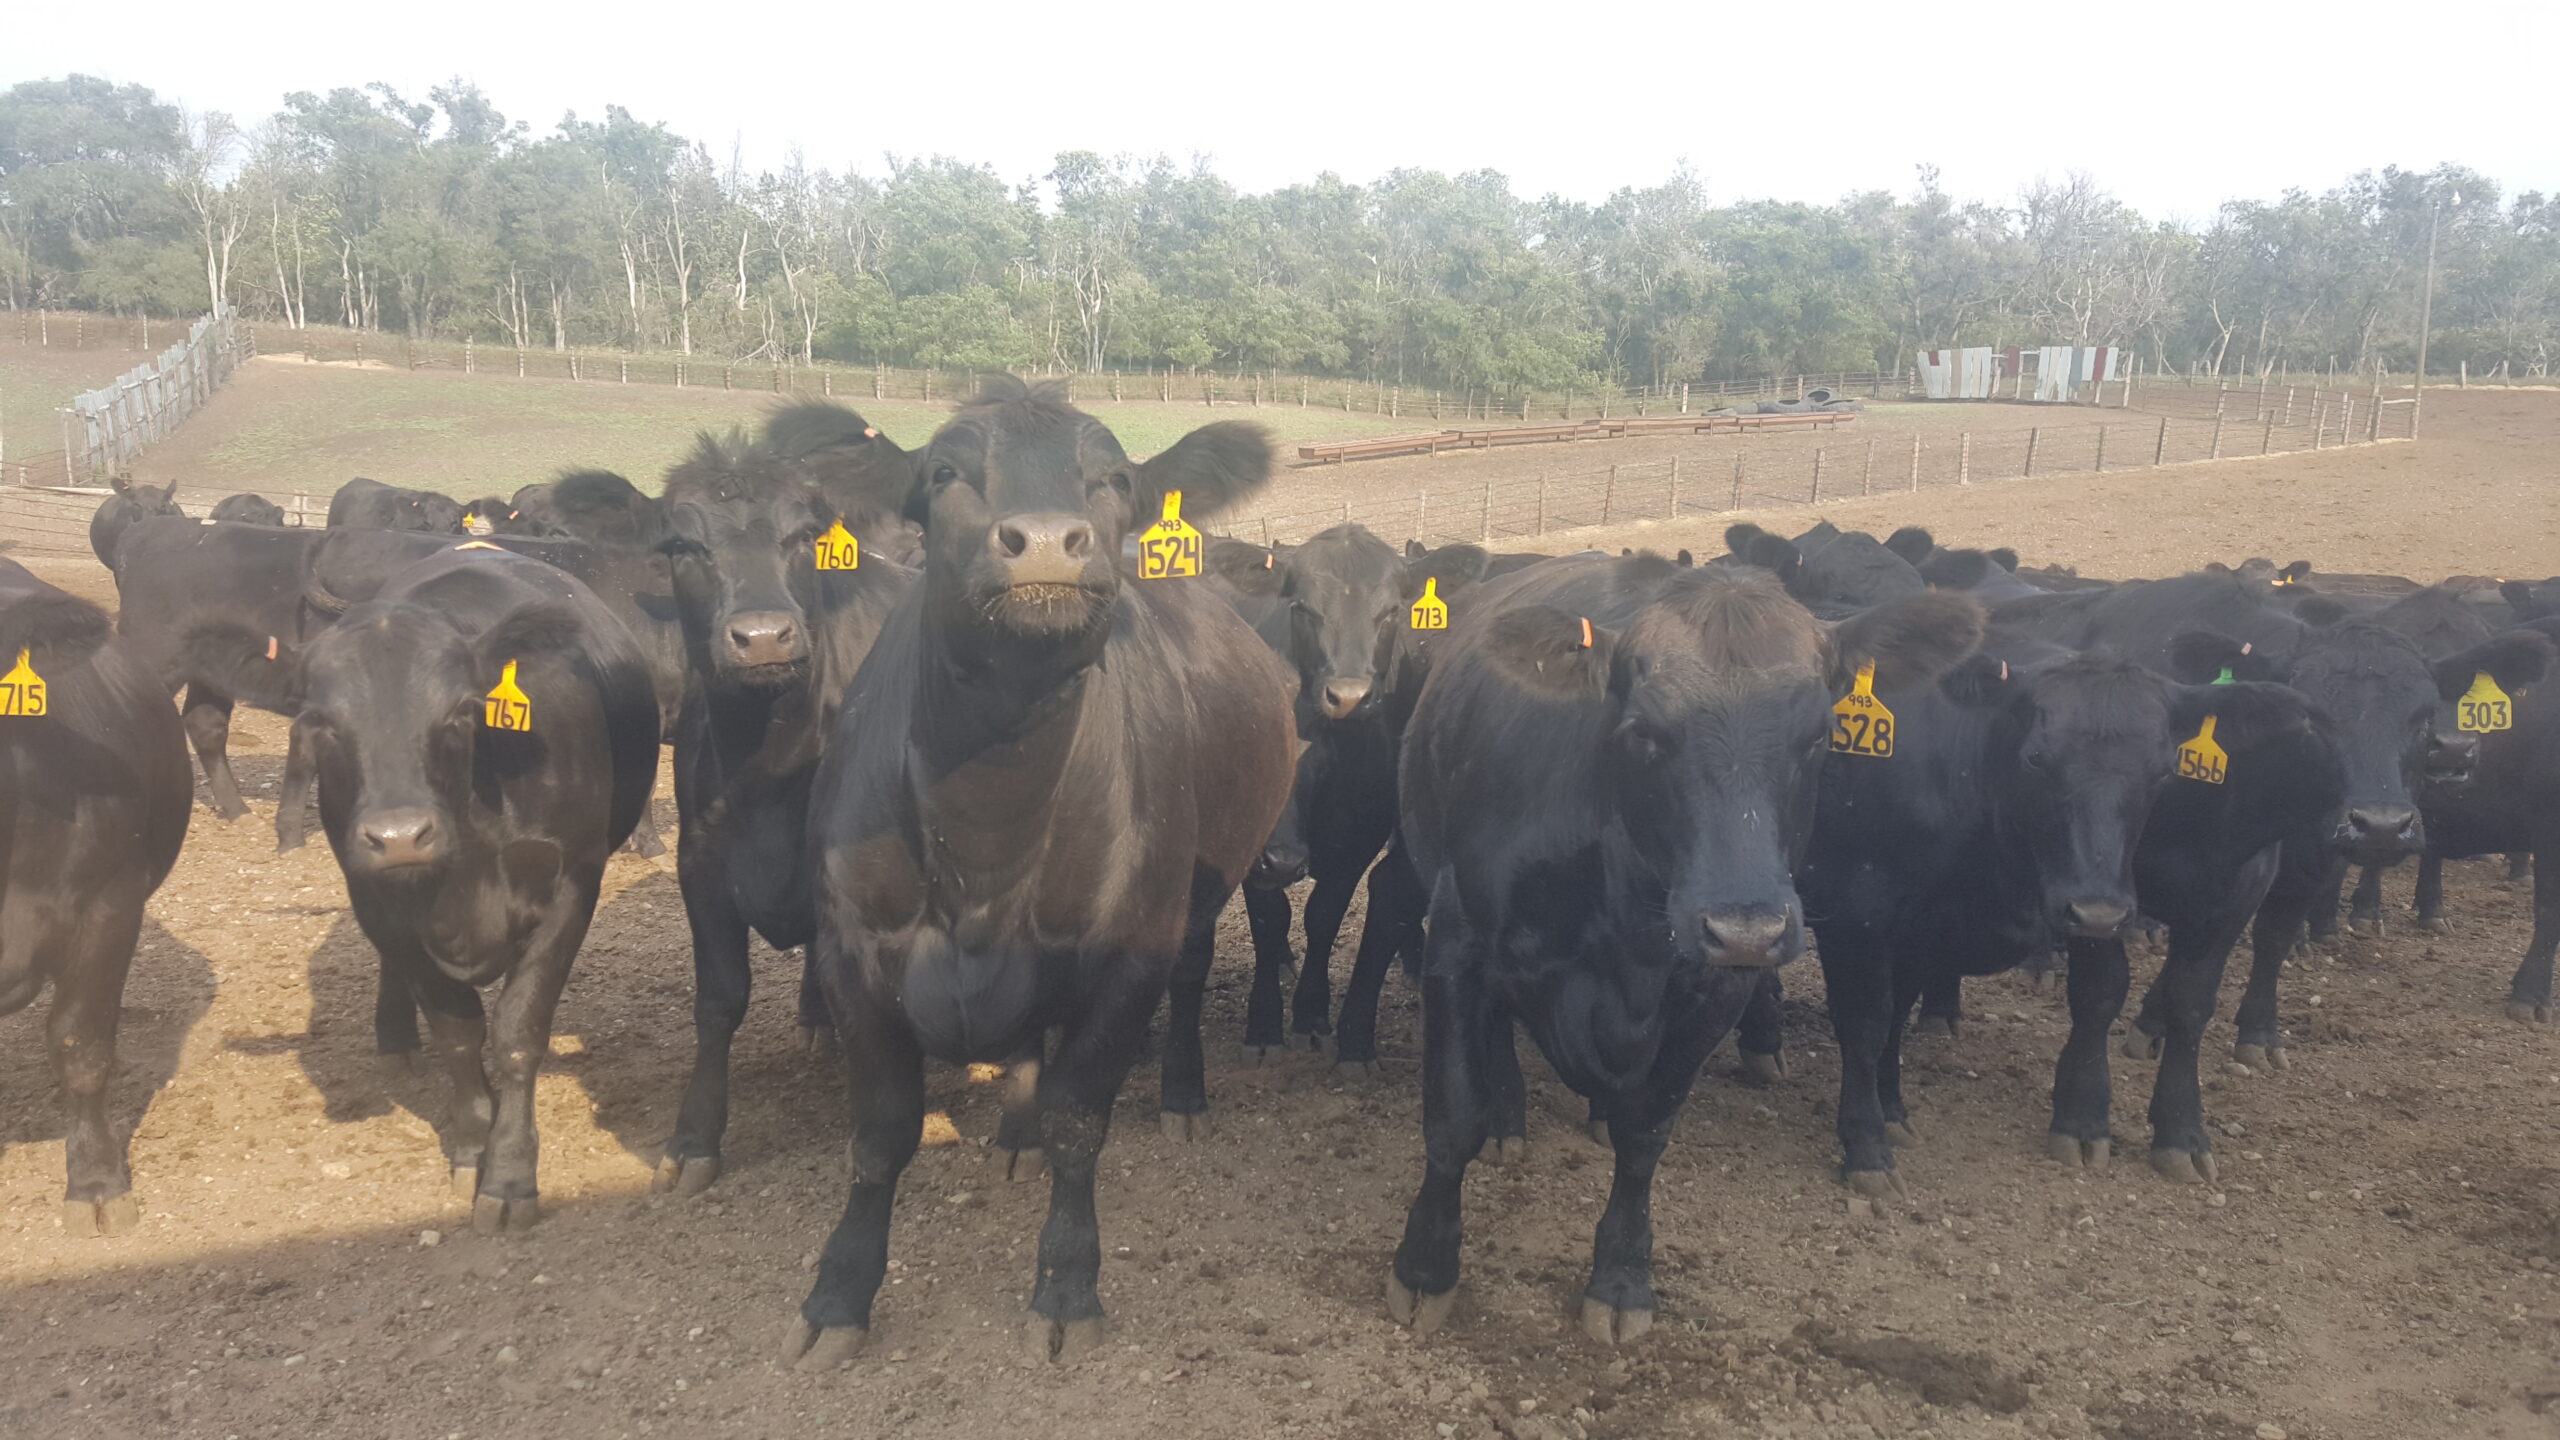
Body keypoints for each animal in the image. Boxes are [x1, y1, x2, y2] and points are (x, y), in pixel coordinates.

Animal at [183, 544, 659, 1232]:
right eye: (319, 723)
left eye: (460, 711)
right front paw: (472, 1147)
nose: (400, 836)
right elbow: (458, 1035)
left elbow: (518, 1032)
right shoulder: (387, 910)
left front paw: (509, 1174)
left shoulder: (573, 885)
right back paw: (395, 1037)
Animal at [781, 377, 1294, 1369]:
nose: (1050, 540)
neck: (987, 837)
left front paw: (1065, 1285)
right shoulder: (851, 953)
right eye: (943, 474)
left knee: (1185, 981)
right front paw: (837, 1295)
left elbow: (1078, 1122)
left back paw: (1180, 1093)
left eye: (1115, 479)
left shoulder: (1129, 958)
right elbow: (882, 1133)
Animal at [1381, 557, 1981, 1345]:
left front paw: (1621, 1279)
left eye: (1820, 734)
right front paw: (1425, 1268)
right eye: (1643, 731)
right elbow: (1454, 1116)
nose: (1746, 926)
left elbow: (1645, 1136)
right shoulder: (1457, 938)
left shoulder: (1713, 992)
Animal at [1802, 630, 2342, 1196]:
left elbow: (2189, 1006)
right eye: (2037, 758)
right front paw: (1867, 1147)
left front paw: (2182, 1133)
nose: (2099, 912)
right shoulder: (1856, 915)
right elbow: (1867, 1024)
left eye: (2163, 770)